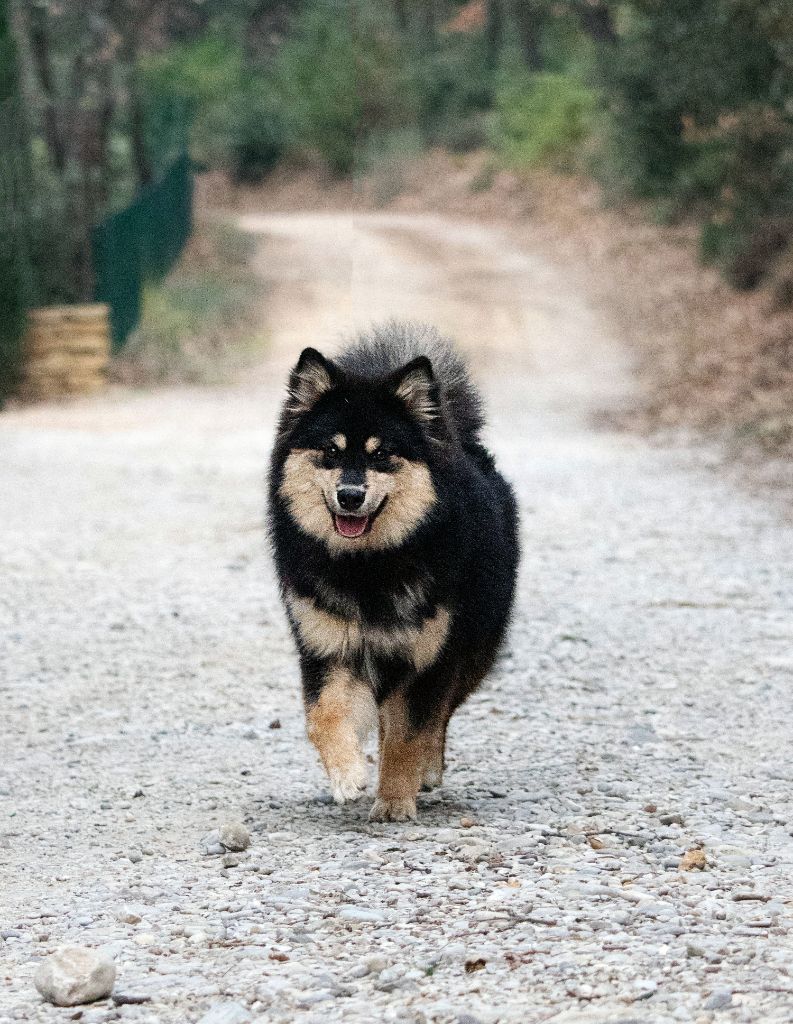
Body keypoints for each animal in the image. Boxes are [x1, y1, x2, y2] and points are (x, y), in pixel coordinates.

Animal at [268, 323, 522, 819]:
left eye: (382, 454)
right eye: (330, 451)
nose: (350, 495)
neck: (369, 568)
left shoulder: (426, 656)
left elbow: (410, 732)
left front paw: (394, 800)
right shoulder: (329, 648)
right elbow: (322, 717)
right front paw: (347, 774)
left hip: (473, 646)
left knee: (440, 715)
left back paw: (427, 770)